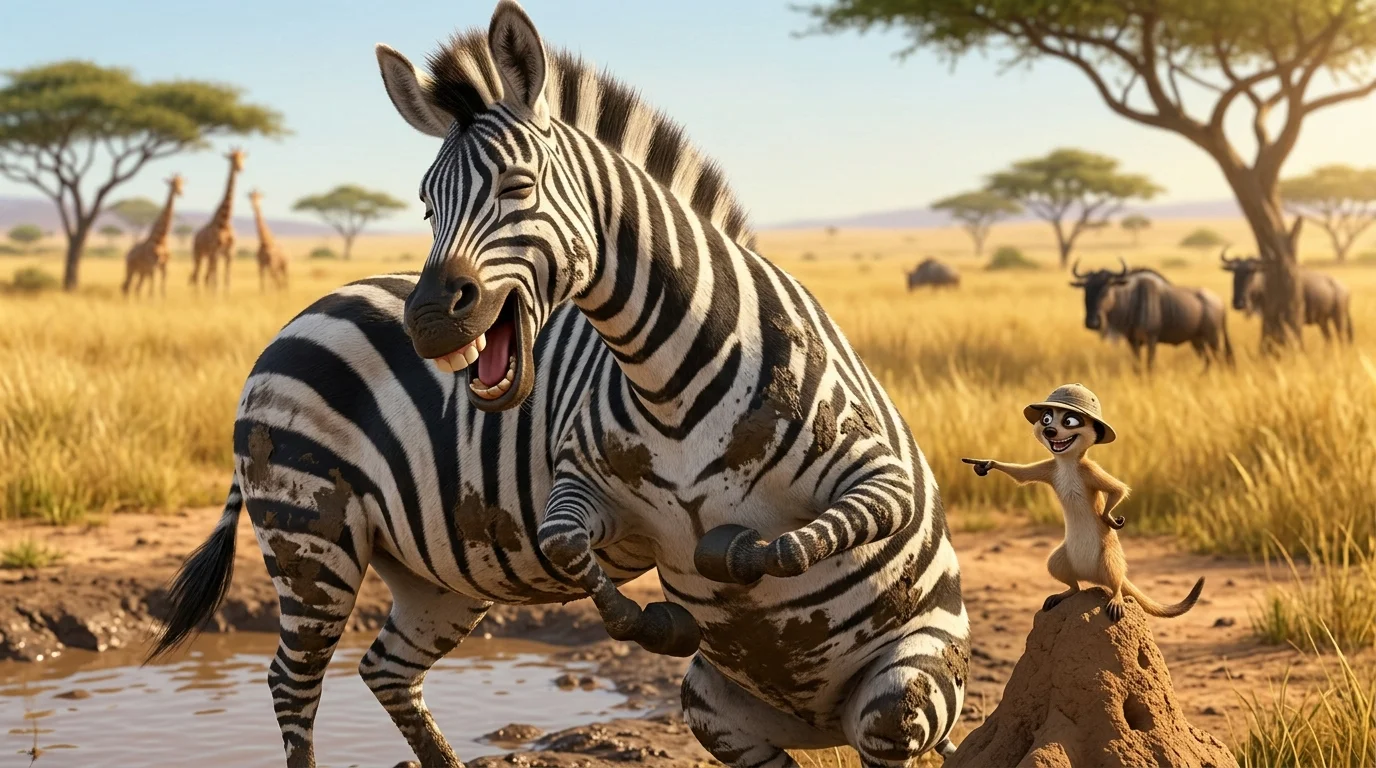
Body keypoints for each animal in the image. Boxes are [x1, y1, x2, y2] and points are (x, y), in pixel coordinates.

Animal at [147, 3, 969, 767]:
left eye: (518, 185)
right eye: (427, 203)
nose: (426, 321)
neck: (669, 371)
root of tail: (292, 320)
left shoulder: (877, 469)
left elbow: (806, 538)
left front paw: (733, 562)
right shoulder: (587, 487)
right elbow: (565, 539)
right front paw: (664, 618)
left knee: (385, 670)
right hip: (308, 531)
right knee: (293, 682)